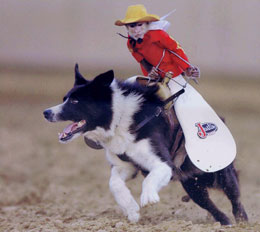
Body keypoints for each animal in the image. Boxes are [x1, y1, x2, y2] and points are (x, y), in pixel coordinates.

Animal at [44, 64, 248, 225]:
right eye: (65, 98)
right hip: (192, 185)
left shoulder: (163, 163)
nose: (46, 112)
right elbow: (114, 183)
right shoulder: (125, 165)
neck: (120, 118)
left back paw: (242, 222)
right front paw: (131, 210)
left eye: (75, 100)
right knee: (211, 206)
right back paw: (225, 222)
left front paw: (148, 197)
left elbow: (150, 178)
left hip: (221, 173)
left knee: (235, 199)